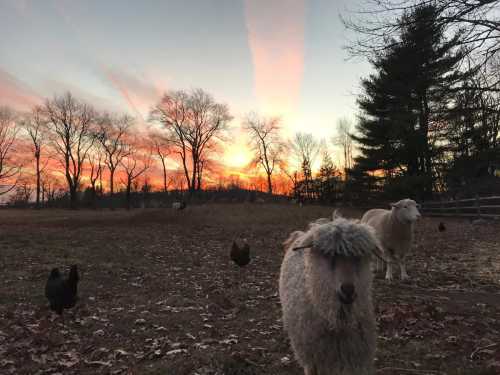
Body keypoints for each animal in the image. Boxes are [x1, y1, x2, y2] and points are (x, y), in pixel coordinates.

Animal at [280, 216, 380, 374]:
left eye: (359, 257)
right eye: (328, 255)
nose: (348, 290)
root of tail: (301, 233)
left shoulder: (357, 360)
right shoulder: (313, 361)